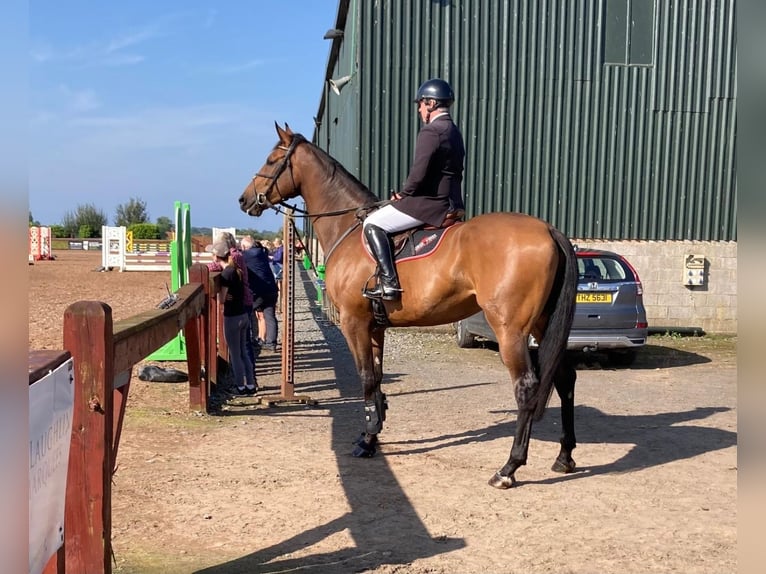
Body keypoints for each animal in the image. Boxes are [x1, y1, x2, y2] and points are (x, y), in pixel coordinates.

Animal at [237, 122, 580, 490]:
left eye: (273, 160)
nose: (244, 200)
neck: (349, 228)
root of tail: (548, 229)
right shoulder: (374, 326)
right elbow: (376, 378)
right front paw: (372, 435)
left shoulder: (354, 323)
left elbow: (366, 379)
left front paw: (367, 440)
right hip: (542, 324)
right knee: (565, 378)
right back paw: (564, 457)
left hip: (510, 330)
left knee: (527, 387)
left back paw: (508, 468)